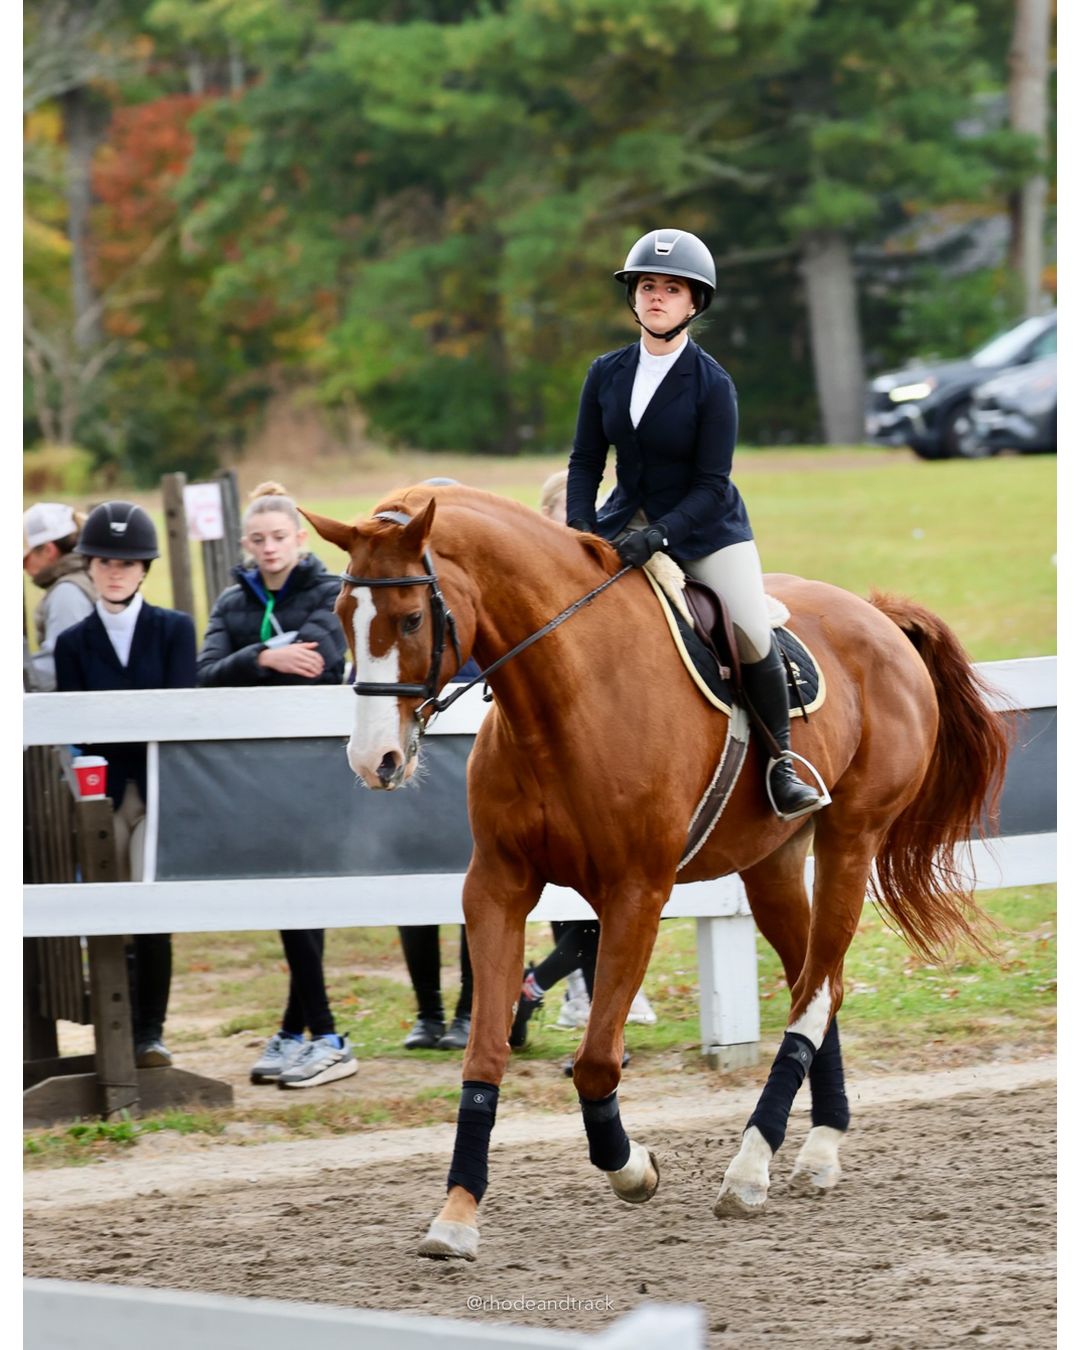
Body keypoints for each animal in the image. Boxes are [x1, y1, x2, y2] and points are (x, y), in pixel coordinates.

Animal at [303, 483, 1008, 1263]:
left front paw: (633, 1168)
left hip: (852, 841)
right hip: (772, 865)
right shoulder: (496, 885)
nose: (374, 761)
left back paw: (750, 1169)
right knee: (819, 986)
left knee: (816, 993)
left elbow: (596, 1061)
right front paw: (456, 1215)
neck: (564, 692)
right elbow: (484, 1055)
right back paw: (821, 1148)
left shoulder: (636, 892)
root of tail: (877, 614)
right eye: (343, 613)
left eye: (410, 617)